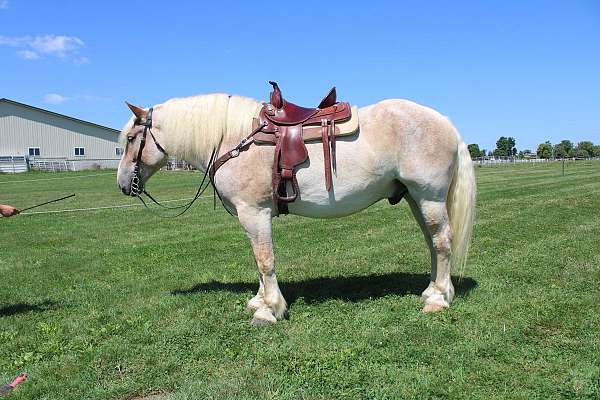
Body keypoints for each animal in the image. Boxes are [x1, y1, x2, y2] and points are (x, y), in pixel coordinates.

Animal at [116, 93, 474, 324]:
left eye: (132, 138)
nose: (122, 184)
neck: (234, 138)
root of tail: (446, 123)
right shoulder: (252, 216)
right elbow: (258, 261)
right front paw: (259, 301)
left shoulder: (254, 212)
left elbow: (265, 260)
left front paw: (269, 310)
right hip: (416, 198)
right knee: (432, 244)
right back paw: (432, 291)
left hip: (428, 197)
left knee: (441, 243)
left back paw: (438, 299)